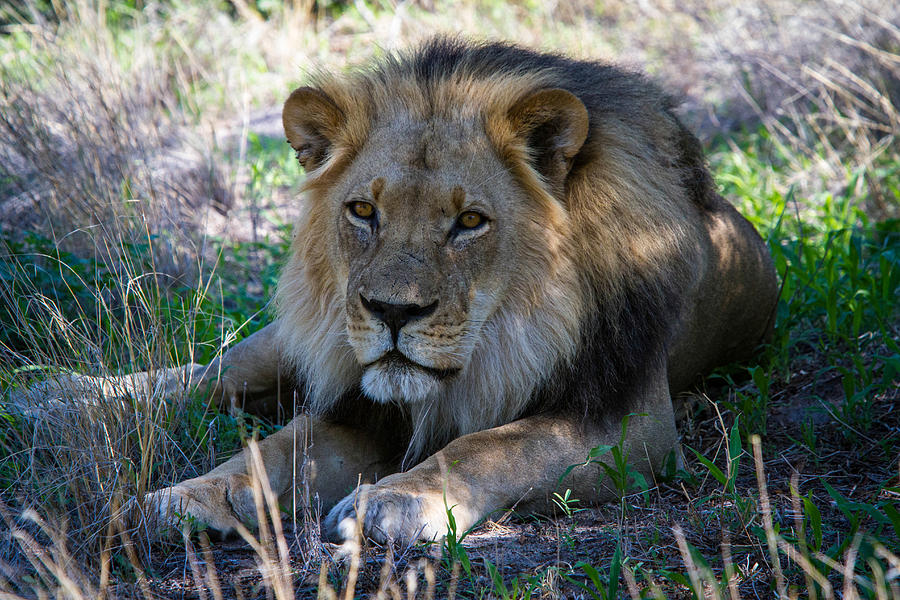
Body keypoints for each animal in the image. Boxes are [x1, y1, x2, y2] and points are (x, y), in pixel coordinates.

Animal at [26, 37, 780, 544]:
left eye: (470, 222)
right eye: (364, 211)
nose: (391, 311)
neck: (512, 333)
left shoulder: (626, 423)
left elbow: (492, 446)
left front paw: (392, 502)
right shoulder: (359, 405)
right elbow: (272, 451)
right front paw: (189, 497)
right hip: (305, 342)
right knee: (211, 374)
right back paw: (59, 399)